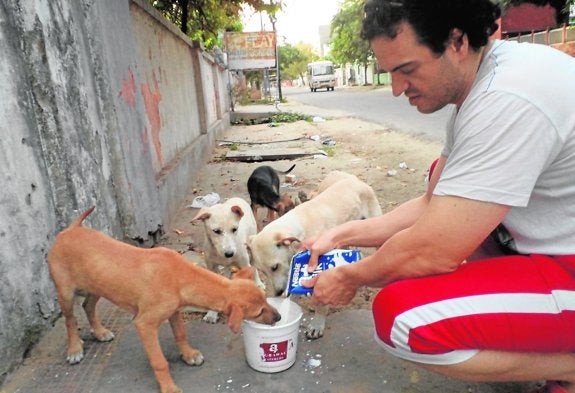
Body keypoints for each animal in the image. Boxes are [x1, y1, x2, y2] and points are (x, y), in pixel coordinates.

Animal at [48, 207, 282, 392]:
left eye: (266, 300)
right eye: (259, 311)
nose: (279, 317)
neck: (180, 275)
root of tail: (70, 229)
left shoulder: (174, 311)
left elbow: (180, 334)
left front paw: (188, 355)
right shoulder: (145, 324)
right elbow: (159, 361)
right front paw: (169, 387)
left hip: (97, 285)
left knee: (87, 306)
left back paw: (100, 332)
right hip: (65, 292)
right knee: (70, 320)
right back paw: (74, 349)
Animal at [248, 172, 382, 336]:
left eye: (274, 267)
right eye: (263, 272)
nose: (278, 293)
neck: (299, 229)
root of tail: (355, 180)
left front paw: (317, 324)